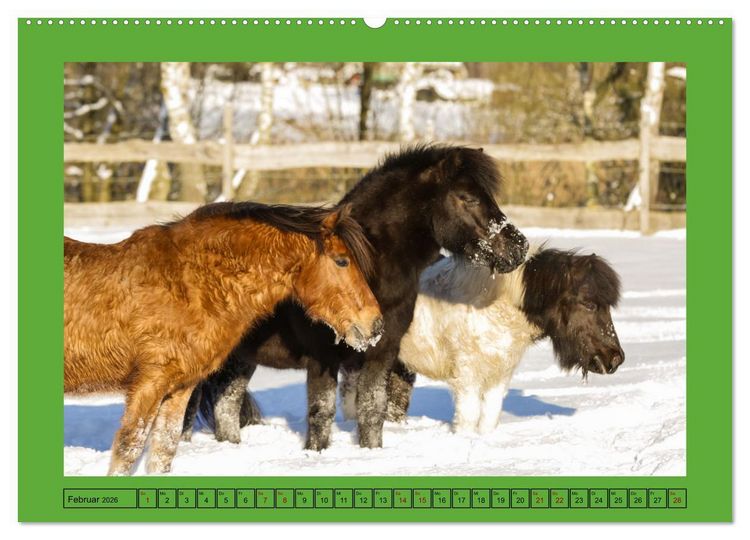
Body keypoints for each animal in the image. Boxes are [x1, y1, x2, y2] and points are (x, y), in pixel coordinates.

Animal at [64, 202, 383, 475]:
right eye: (342, 261)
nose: (376, 325)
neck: (189, 284)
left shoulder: (179, 387)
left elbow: (164, 450)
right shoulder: (148, 384)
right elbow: (128, 450)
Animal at [183, 144, 529, 450]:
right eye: (467, 198)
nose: (519, 247)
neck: (370, 267)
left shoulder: (382, 352)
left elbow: (373, 409)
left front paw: (370, 452)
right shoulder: (322, 357)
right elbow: (322, 414)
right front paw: (316, 454)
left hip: (239, 358)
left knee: (226, 407)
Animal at [340, 246, 624, 433]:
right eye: (589, 304)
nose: (615, 359)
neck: (497, 307)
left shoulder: (500, 376)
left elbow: (489, 417)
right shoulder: (468, 378)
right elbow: (468, 418)